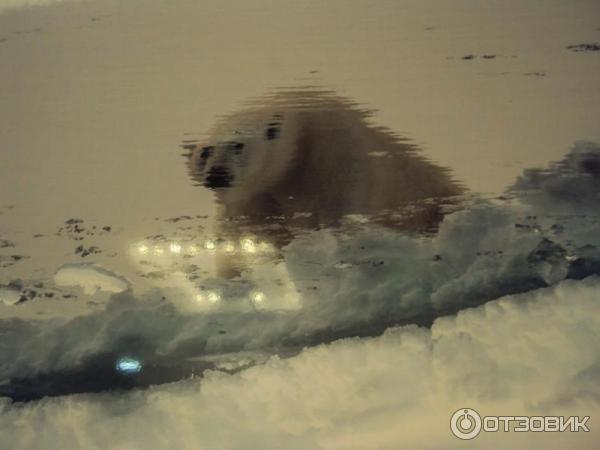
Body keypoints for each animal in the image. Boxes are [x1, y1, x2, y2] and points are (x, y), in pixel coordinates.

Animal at [183, 89, 464, 276]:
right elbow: (237, 236)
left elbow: (339, 213)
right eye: (205, 151)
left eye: (238, 145)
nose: (217, 174)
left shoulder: (334, 159)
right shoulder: (257, 196)